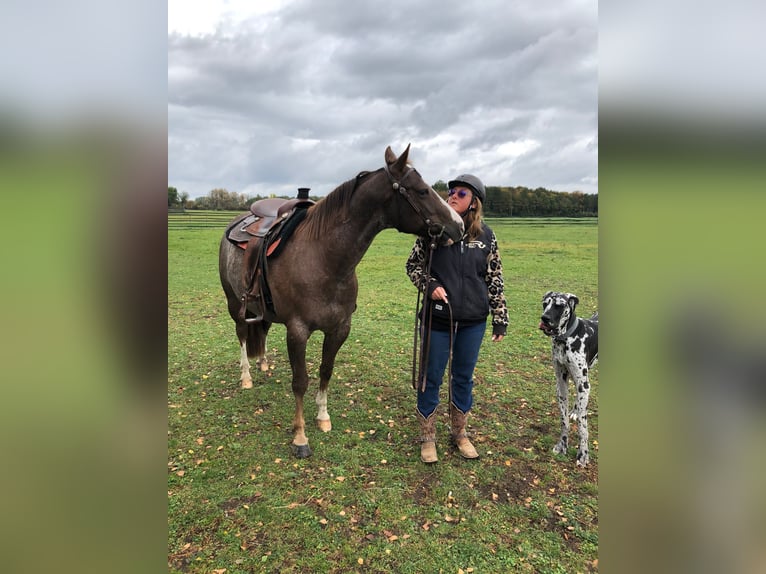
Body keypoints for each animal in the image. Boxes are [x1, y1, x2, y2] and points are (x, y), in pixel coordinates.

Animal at [219, 145, 464, 460]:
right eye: (422, 191)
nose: (459, 226)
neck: (323, 258)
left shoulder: (339, 329)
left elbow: (326, 370)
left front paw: (323, 417)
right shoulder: (297, 331)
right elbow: (300, 381)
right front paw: (300, 437)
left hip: (263, 310)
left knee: (261, 331)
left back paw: (262, 363)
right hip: (235, 304)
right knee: (241, 335)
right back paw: (247, 376)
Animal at [540, 292, 600, 468]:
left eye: (559, 306)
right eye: (544, 304)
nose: (544, 318)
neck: (566, 338)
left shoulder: (583, 384)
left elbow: (583, 426)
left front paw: (583, 454)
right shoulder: (561, 382)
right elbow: (564, 420)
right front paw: (562, 445)